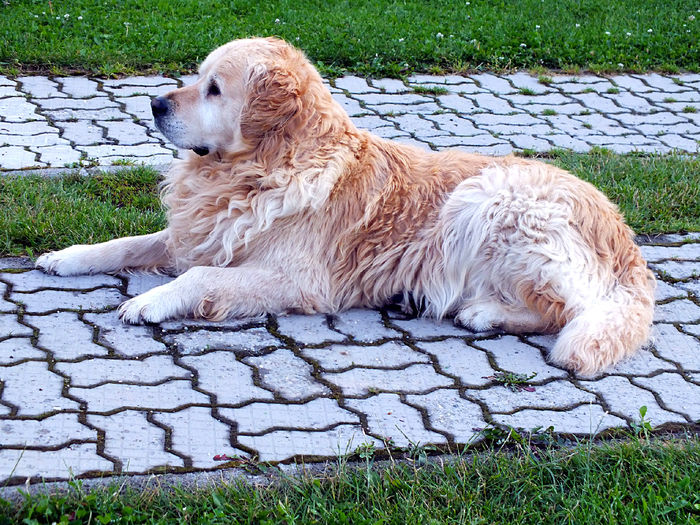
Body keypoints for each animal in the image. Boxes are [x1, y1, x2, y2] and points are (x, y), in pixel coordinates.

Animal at [35, 36, 652, 374]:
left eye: (214, 89)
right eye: (196, 78)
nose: (155, 104)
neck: (262, 170)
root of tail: (623, 236)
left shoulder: (298, 278)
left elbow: (200, 277)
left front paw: (149, 301)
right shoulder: (202, 231)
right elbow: (128, 243)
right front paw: (67, 256)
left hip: (490, 198)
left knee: (565, 311)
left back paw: (485, 312)